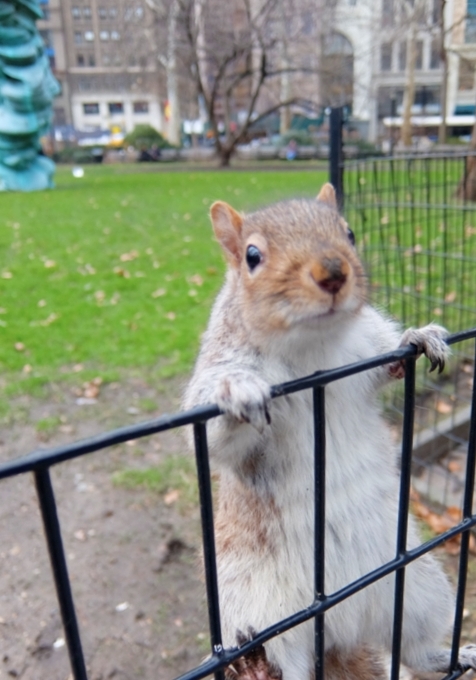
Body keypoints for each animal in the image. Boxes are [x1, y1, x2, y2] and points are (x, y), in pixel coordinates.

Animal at [183, 183, 476, 676]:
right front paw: (237, 389)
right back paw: (257, 669)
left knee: (411, 649)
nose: (333, 272)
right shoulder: (220, 366)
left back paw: (450, 655)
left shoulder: (367, 347)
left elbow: (390, 357)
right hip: (255, 607)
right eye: (252, 255)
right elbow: (215, 436)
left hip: (416, 586)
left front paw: (418, 337)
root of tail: (339, 631)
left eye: (350, 233)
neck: (312, 344)